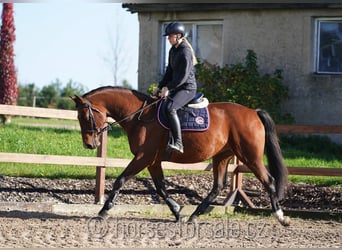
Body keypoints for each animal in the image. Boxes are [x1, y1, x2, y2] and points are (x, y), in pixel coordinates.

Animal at [71, 85, 288, 225]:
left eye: (86, 116)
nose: (89, 144)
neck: (140, 115)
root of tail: (253, 112)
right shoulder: (152, 161)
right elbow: (160, 188)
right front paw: (178, 213)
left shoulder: (143, 157)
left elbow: (121, 180)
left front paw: (103, 211)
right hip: (222, 156)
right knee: (217, 186)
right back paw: (194, 216)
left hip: (250, 157)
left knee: (269, 180)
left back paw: (281, 217)